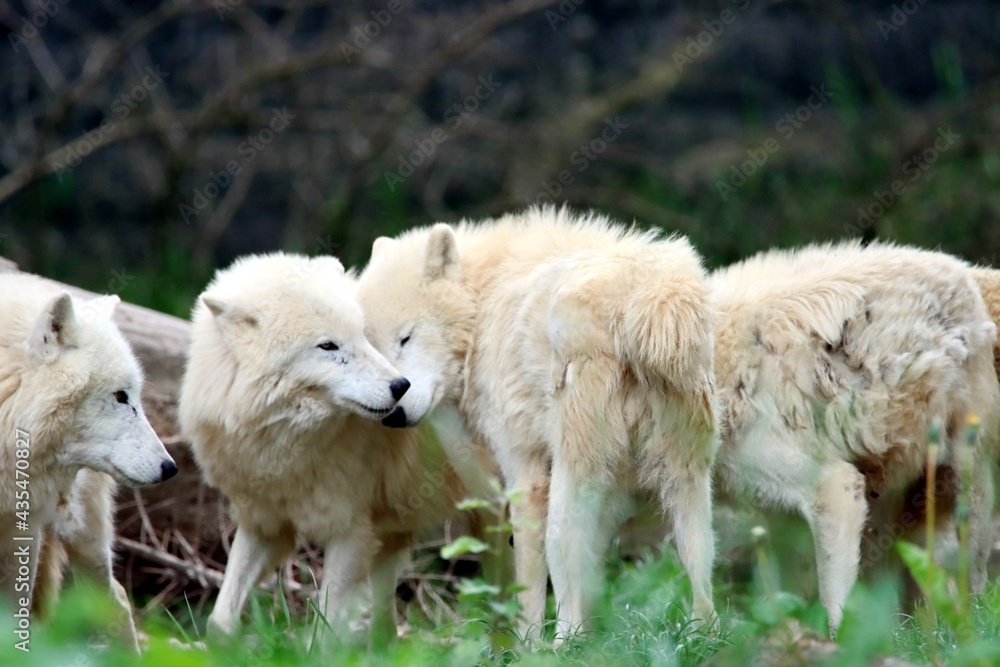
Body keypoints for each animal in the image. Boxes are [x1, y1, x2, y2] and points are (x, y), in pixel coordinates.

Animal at [179, 252, 498, 641]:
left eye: (363, 336)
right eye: (328, 346)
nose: (400, 386)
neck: (287, 446)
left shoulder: (351, 532)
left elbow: (325, 627)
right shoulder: (264, 524)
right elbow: (220, 620)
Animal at [356, 207, 719, 640]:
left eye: (406, 338)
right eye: (373, 350)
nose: (393, 413)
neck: (482, 303)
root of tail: (644, 296)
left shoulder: (522, 470)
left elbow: (527, 578)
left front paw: (526, 641)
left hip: (575, 474)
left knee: (561, 552)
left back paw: (565, 643)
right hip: (687, 476)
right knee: (699, 559)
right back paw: (705, 637)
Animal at [710, 241, 1000, 633]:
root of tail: (962, 270)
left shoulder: (833, 488)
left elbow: (835, 604)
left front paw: (837, 641)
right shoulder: (779, 515)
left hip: (961, 490)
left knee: (973, 584)